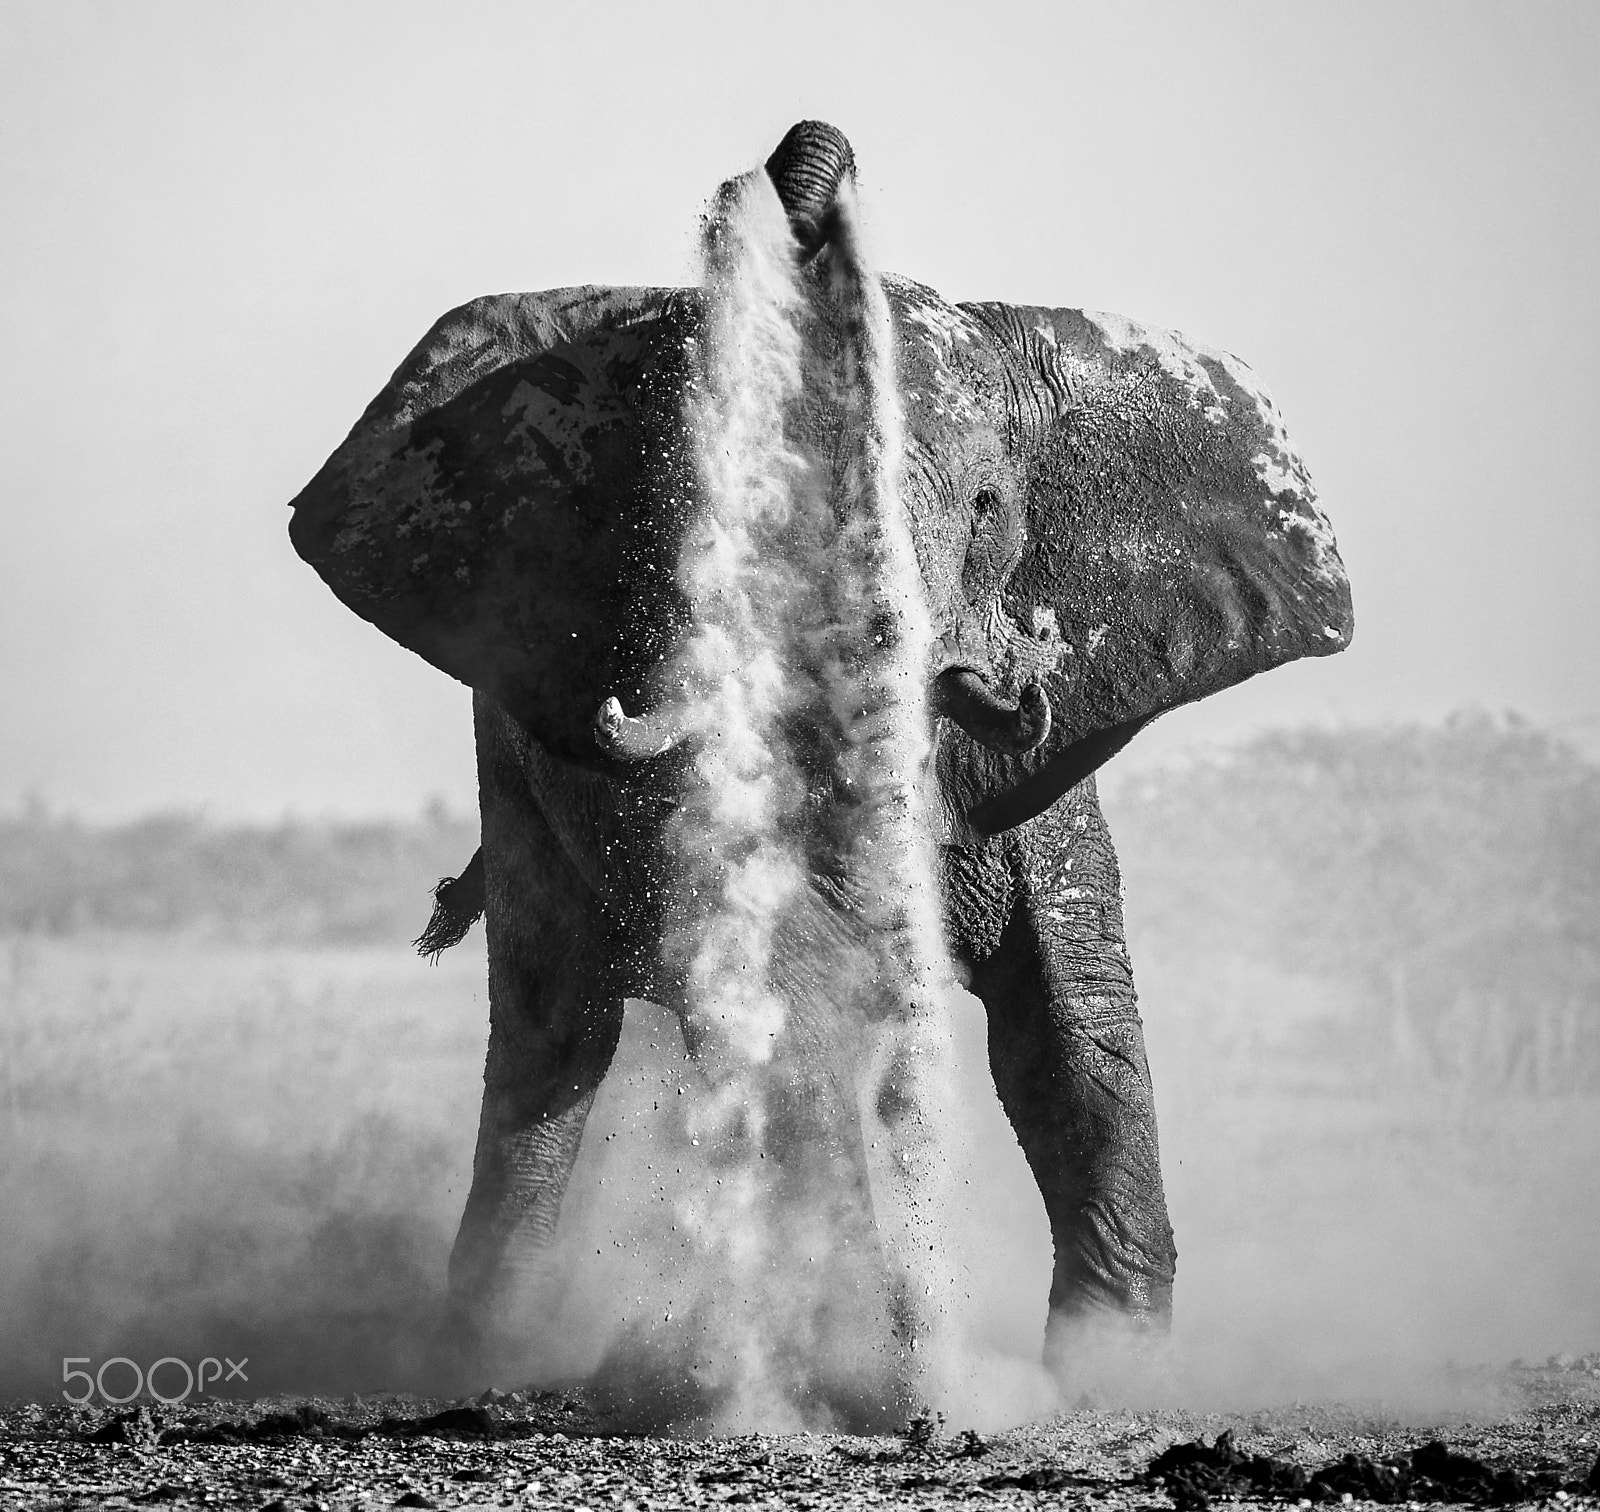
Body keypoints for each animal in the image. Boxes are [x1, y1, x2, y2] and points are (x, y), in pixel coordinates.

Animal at [284, 124, 1350, 1408]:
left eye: (987, 513)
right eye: (699, 508)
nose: (804, 158)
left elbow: (1073, 1023)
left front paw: (1100, 1381)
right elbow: (796, 994)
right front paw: (865, 1369)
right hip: (513, 761)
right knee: (551, 1036)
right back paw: (504, 1356)